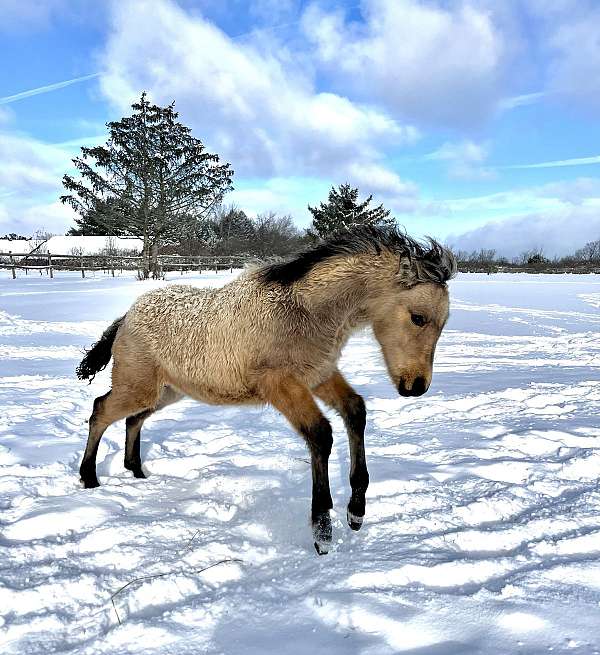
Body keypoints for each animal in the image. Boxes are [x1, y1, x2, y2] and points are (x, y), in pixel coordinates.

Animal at [78, 227, 454, 552]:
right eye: (418, 317)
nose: (416, 386)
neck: (305, 313)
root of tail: (127, 316)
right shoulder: (280, 385)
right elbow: (320, 434)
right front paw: (322, 529)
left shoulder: (319, 375)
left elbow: (355, 411)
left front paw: (356, 512)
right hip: (138, 386)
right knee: (101, 410)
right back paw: (89, 478)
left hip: (167, 391)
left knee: (133, 419)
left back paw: (136, 470)